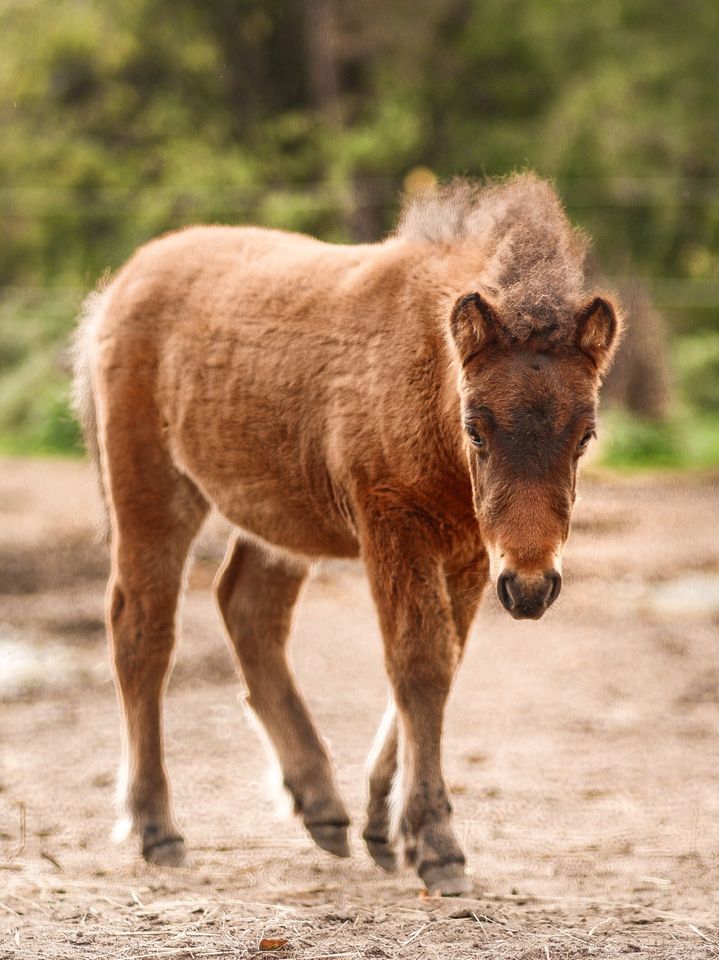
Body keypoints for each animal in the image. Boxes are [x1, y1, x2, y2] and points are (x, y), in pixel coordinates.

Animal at [74, 171, 624, 892]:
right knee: (143, 631)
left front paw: (385, 827)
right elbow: (417, 665)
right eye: (475, 427)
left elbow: (442, 663)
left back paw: (322, 809)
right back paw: (156, 828)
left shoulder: (471, 552)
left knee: (248, 610)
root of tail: (117, 287)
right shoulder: (391, 523)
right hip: (154, 491)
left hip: (278, 518)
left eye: (584, 435)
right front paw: (436, 844)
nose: (532, 588)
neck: (425, 366)